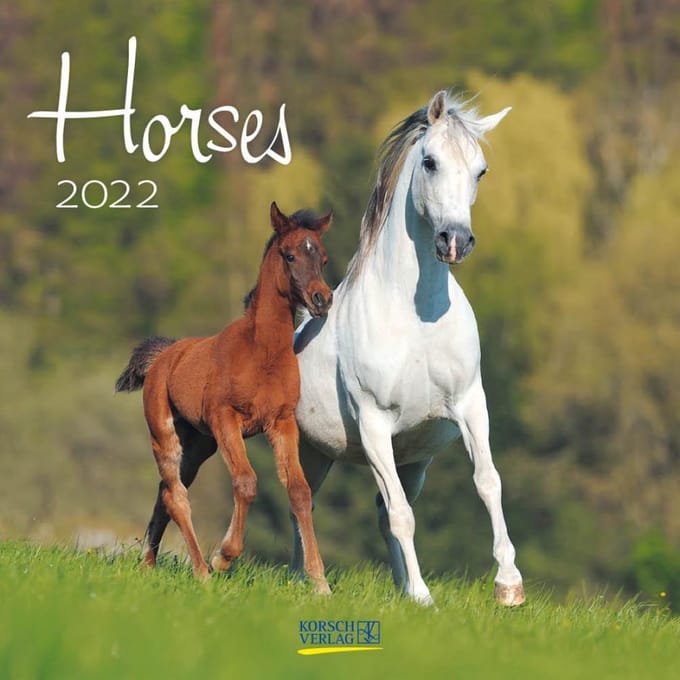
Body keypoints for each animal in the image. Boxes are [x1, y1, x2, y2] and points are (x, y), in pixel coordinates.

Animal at [115, 202, 333, 593]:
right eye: (290, 255)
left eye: (322, 257)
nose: (322, 299)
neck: (262, 353)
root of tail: (164, 356)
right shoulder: (226, 418)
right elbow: (246, 482)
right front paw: (224, 557)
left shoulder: (282, 422)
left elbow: (299, 490)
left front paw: (320, 583)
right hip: (164, 434)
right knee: (176, 496)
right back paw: (202, 570)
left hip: (199, 444)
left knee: (165, 492)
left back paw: (148, 564)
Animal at [291, 90, 525, 606]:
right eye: (431, 161)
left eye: (480, 170)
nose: (455, 240)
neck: (416, 318)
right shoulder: (374, 421)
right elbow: (403, 516)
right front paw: (424, 596)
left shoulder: (469, 405)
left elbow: (488, 483)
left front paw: (509, 585)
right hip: (309, 451)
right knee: (305, 503)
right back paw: (308, 581)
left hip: (409, 460)